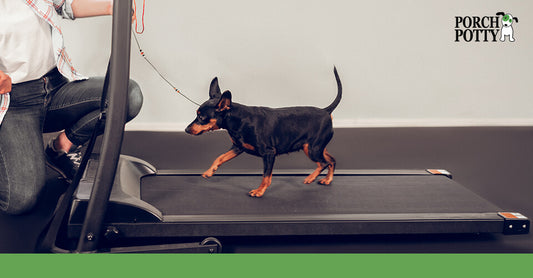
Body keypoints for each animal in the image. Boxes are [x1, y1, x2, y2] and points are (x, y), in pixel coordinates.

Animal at [185, 67, 342, 198]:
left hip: (312, 149)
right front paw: (210, 171)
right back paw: (327, 180)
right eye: (197, 114)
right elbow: (220, 158)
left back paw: (311, 177)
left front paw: (260, 191)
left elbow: (266, 175)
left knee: (323, 163)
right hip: (316, 148)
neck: (239, 121)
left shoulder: (269, 153)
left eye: (201, 118)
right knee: (331, 160)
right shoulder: (238, 147)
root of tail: (326, 111)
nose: (186, 129)